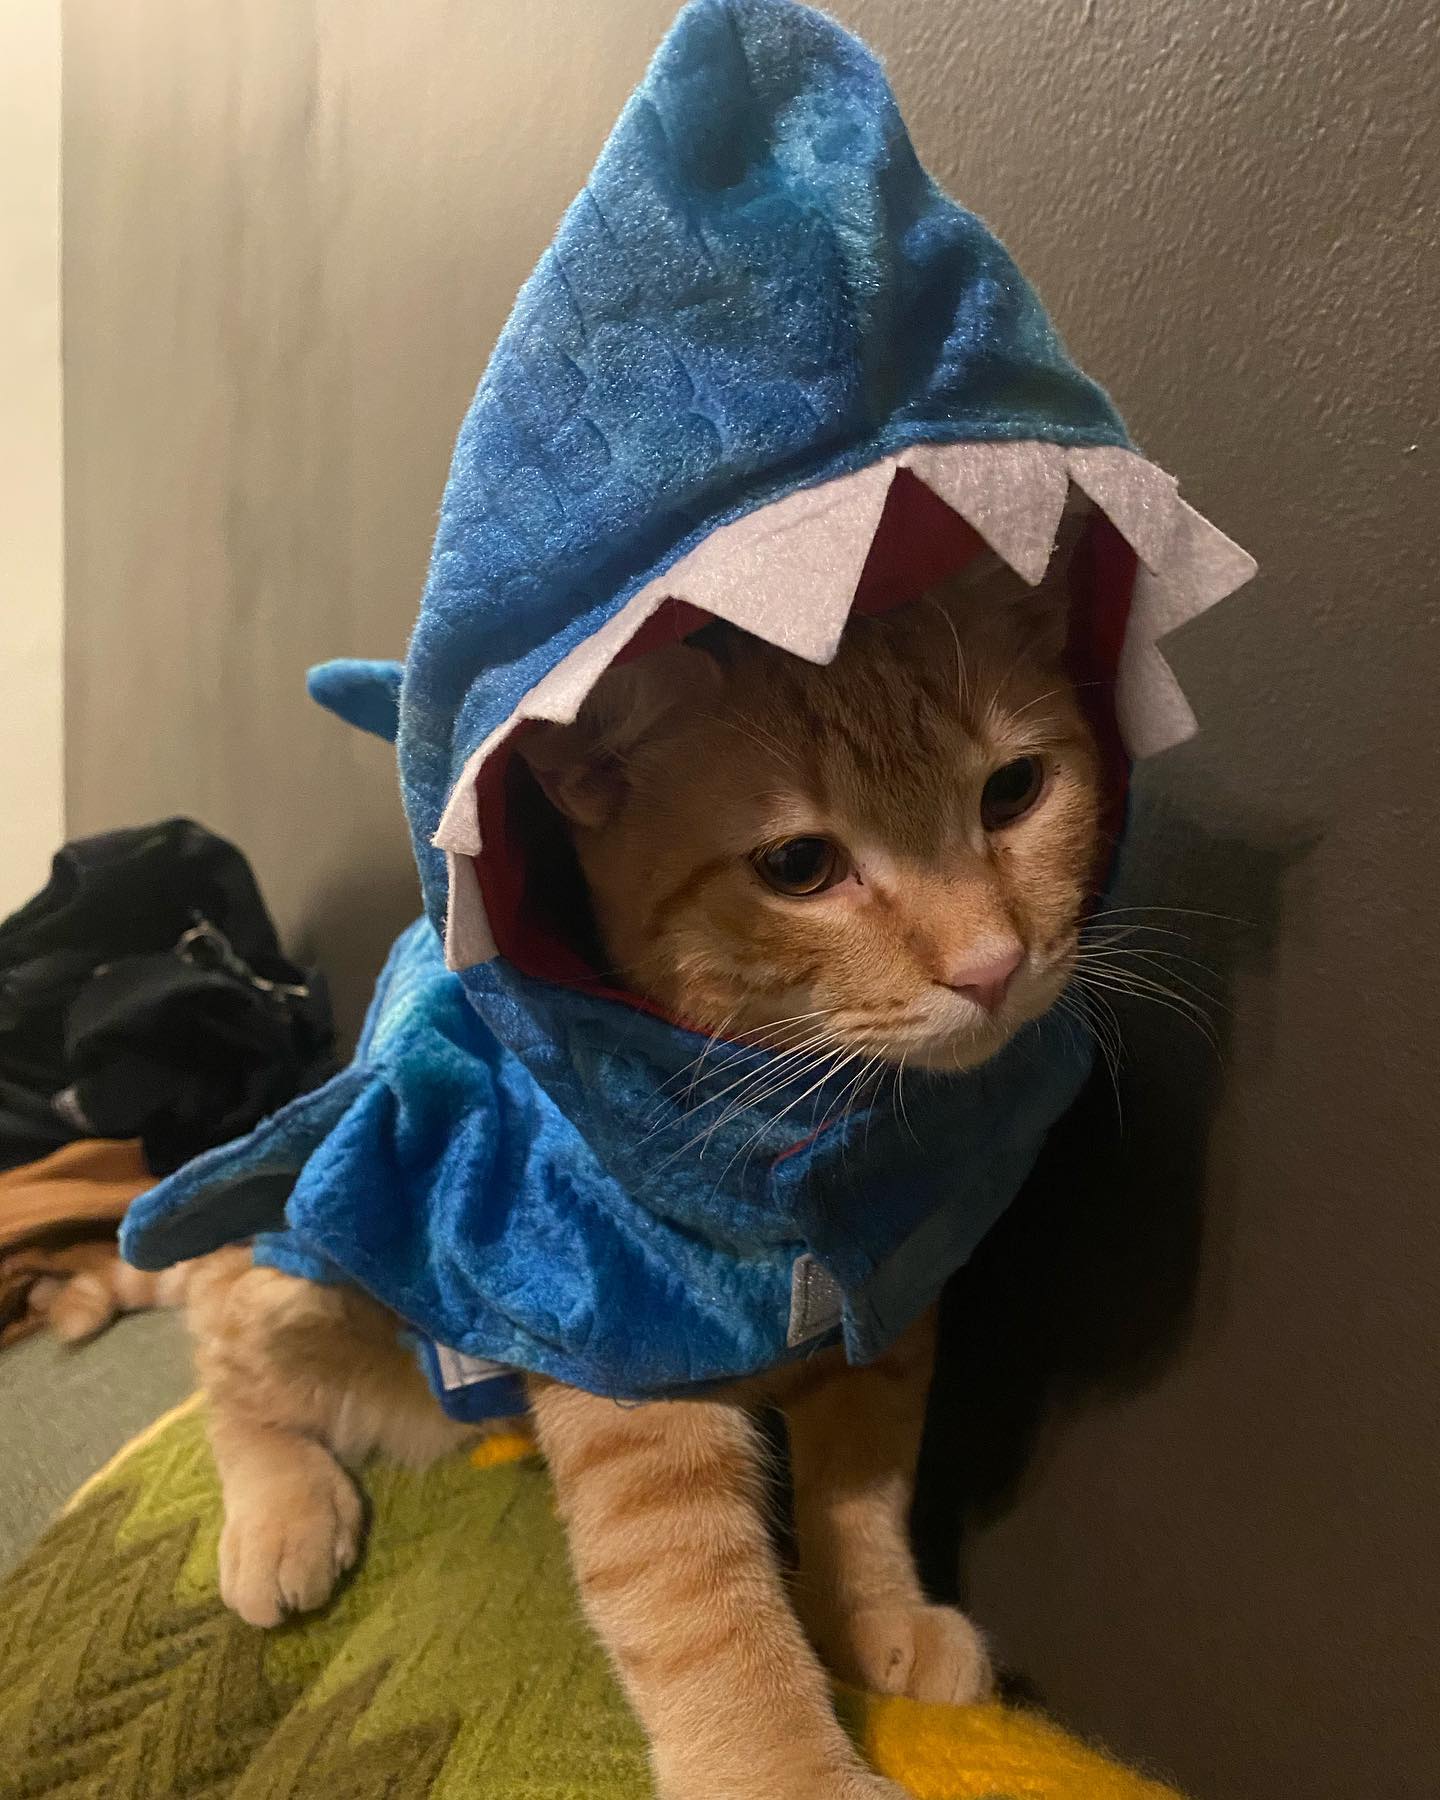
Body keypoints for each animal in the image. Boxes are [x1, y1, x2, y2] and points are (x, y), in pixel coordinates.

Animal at [47, 561, 1103, 1800]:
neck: (794, 1153)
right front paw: (789, 1768)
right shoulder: (625, 1372)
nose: (990, 966)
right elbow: (708, 1614)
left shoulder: (886, 1314)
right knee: (222, 1347)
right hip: (304, 1270)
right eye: (799, 867)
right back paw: (282, 1512)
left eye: (1014, 792)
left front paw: (879, 1615)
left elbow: (864, 1487)